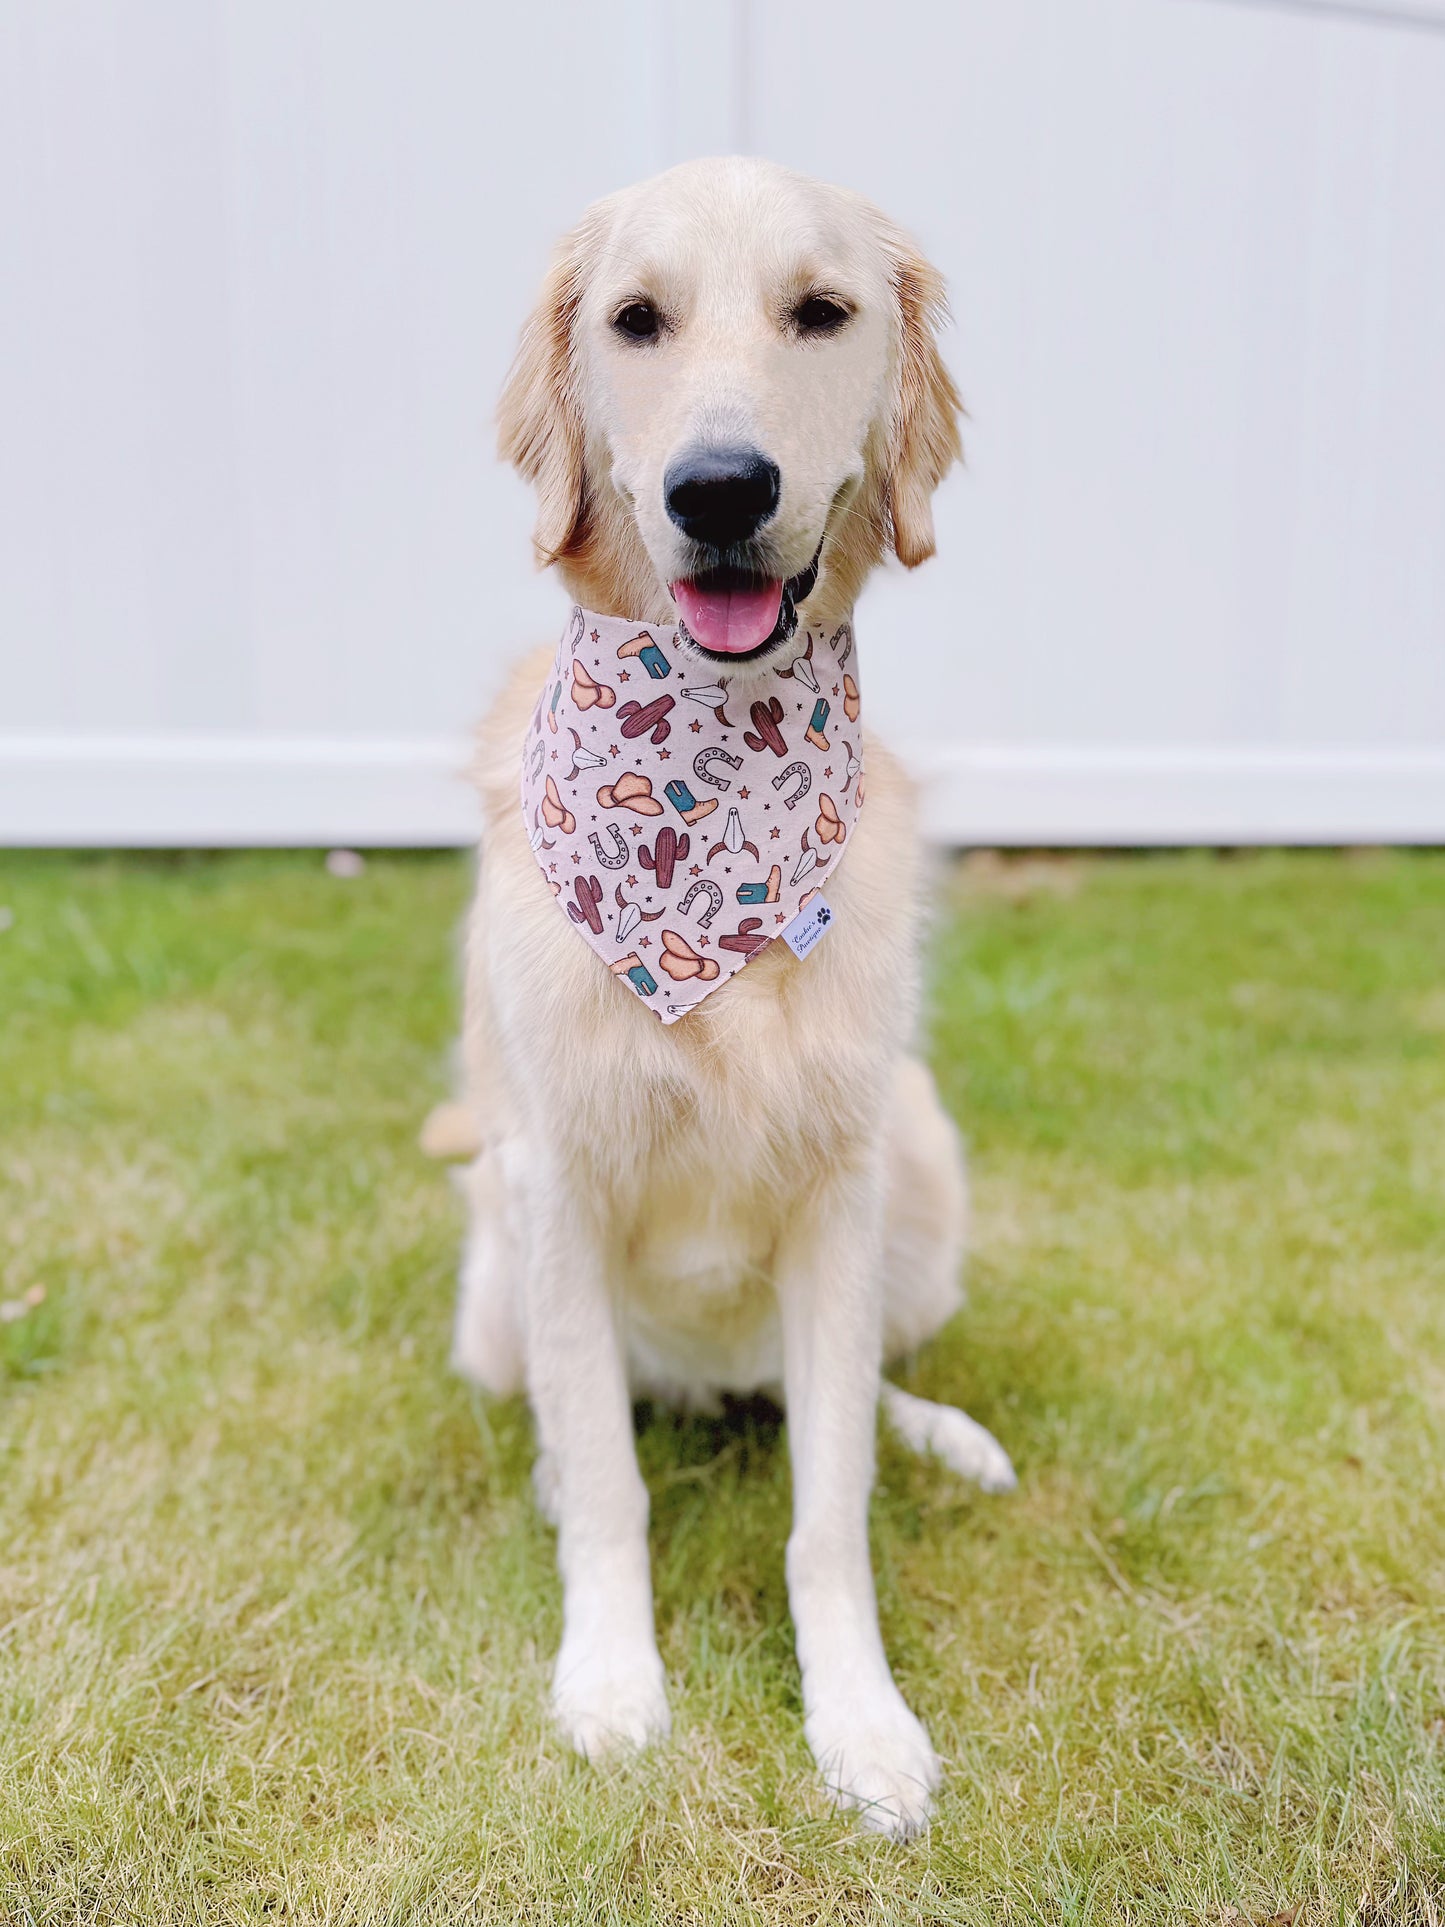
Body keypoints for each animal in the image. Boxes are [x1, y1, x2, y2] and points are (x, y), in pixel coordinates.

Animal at [446, 154, 1009, 1834]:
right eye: (637, 320)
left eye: (819, 312)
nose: (719, 490)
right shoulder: (553, 1179)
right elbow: (609, 1488)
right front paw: (612, 1681)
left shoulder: (839, 1187)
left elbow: (832, 1506)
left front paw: (862, 1722)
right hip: (491, 1268)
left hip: (922, 1160)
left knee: (858, 1391)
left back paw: (944, 1432)